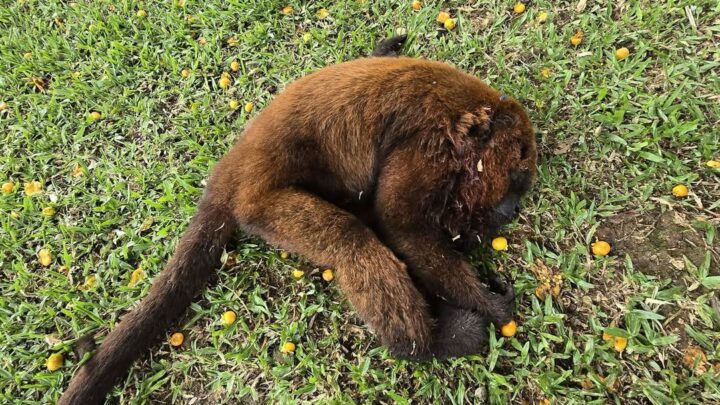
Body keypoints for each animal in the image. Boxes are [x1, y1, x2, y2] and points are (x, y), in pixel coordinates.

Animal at [58, 37, 537, 404]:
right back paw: (428, 342)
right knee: (352, 242)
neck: (469, 116)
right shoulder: (428, 141)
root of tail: (231, 169)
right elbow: (401, 224)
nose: (513, 210)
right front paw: (489, 303)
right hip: (263, 205)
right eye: (517, 179)